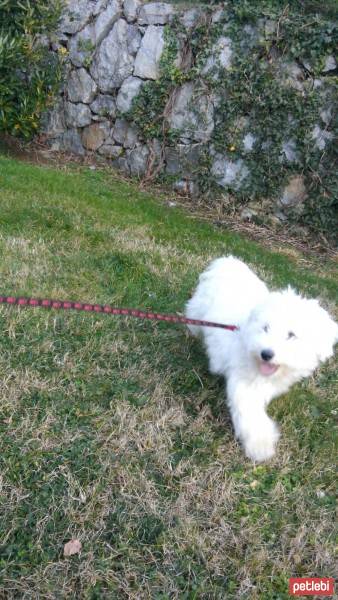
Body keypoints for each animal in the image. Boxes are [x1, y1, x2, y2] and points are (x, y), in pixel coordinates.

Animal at [186, 255, 336, 462]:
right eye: (265, 328)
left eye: (291, 335)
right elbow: (249, 414)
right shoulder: (245, 383)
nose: (266, 353)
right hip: (199, 310)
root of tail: (228, 262)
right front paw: (260, 446)